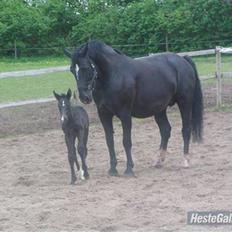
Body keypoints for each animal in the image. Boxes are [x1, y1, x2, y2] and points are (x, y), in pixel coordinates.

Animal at [64, 40, 203, 177]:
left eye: (86, 68)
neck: (112, 75)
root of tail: (182, 60)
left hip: (184, 103)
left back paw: (185, 160)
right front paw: (113, 170)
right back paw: (158, 161)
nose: (84, 97)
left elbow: (126, 141)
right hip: (159, 109)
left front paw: (129, 169)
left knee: (186, 130)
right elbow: (109, 141)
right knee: (165, 130)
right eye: (72, 69)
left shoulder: (125, 114)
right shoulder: (104, 114)